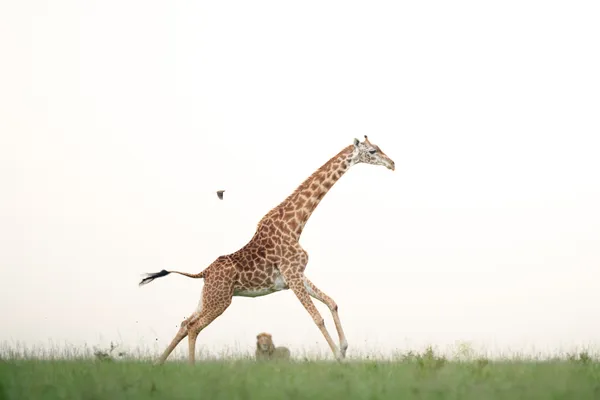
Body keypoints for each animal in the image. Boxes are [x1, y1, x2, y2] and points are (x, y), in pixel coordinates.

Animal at [138, 136, 396, 364]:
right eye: (372, 151)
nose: (392, 163)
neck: (295, 226)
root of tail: (203, 272)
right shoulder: (292, 274)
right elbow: (317, 318)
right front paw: (339, 358)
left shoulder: (296, 275)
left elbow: (332, 302)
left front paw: (343, 349)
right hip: (221, 300)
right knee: (193, 327)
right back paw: (190, 368)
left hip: (208, 297)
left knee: (184, 323)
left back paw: (158, 364)